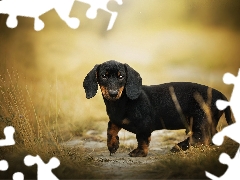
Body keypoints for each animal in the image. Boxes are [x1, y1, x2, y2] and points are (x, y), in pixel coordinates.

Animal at [83, 59, 232, 157]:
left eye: (121, 76)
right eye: (104, 76)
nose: (113, 93)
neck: (121, 102)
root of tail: (221, 95)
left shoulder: (144, 126)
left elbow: (142, 139)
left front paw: (140, 152)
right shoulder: (116, 120)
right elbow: (110, 129)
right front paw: (113, 145)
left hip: (201, 118)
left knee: (202, 137)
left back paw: (179, 146)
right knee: (209, 137)